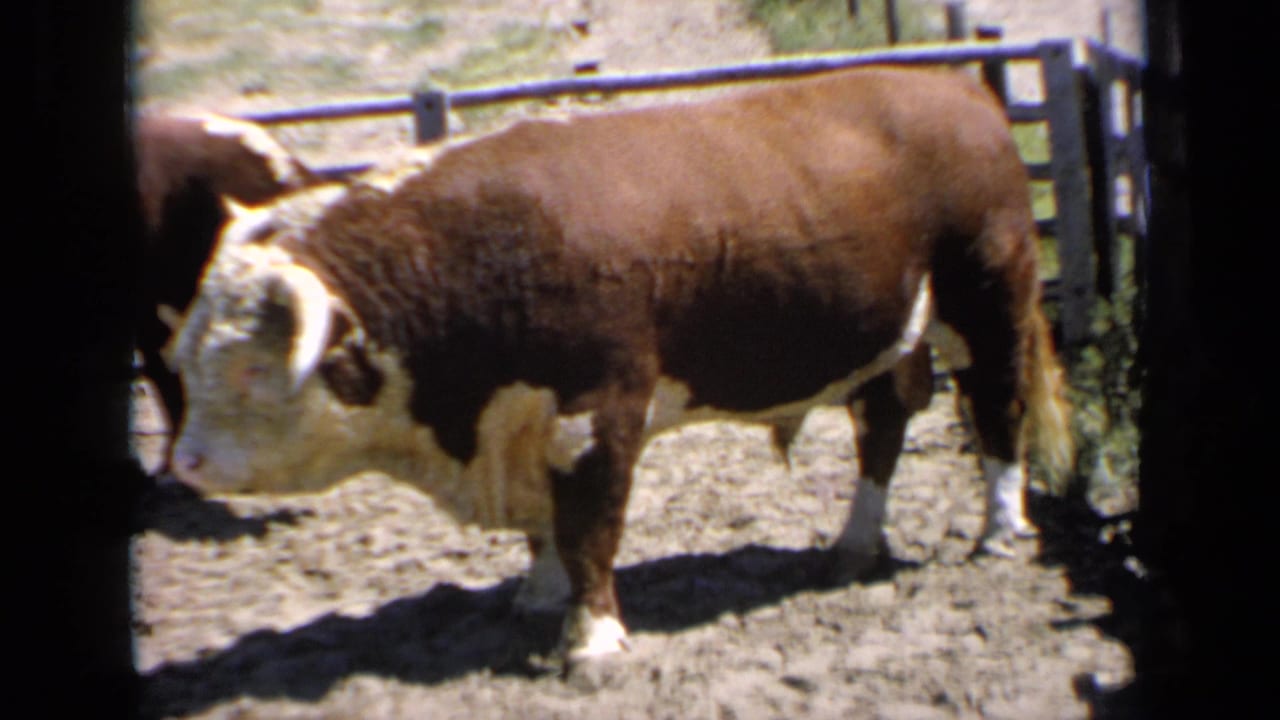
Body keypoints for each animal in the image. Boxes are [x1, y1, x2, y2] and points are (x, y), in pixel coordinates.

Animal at [166, 65, 1074, 667]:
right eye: (189, 358)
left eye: (250, 371)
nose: (186, 464)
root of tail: (956, 87)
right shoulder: (523, 423)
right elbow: (546, 530)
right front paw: (536, 595)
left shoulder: (596, 414)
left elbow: (590, 528)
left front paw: (592, 639)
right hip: (883, 338)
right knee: (881, 428)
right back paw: (854, 545)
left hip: (986, 303)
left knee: (998, 411)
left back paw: (998, 531)